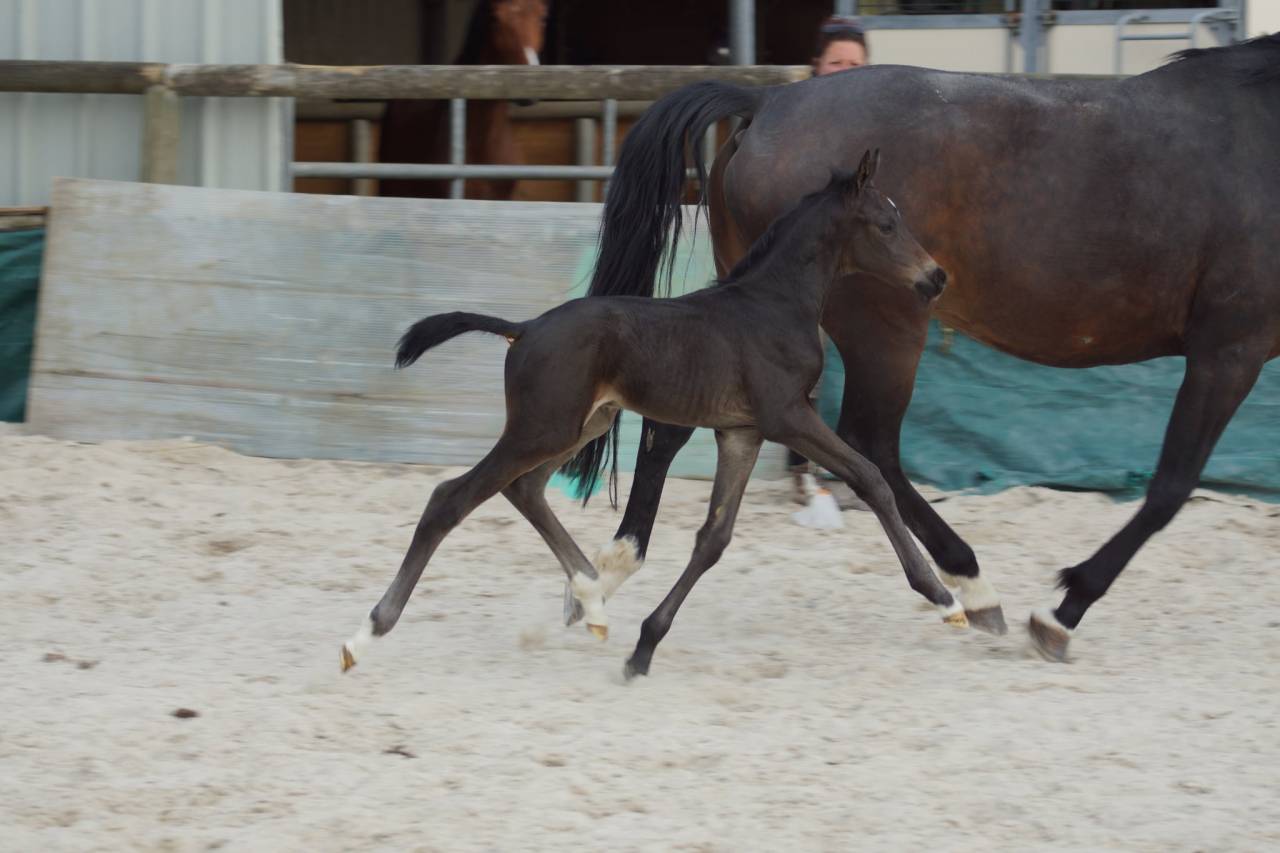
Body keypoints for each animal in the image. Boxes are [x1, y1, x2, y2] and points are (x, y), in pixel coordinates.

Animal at [340, 155, 961, 678]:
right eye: (886, 224)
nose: (935, 278)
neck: (774, 305)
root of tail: (525, 328)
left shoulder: (742, 432)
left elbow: (714, 537)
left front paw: (643, 647)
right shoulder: (787, 416)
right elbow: (872, 477)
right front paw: (944, 596)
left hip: (579, 424)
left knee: (525, 490)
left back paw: (592, 603)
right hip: (543, 427)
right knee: (452, 498)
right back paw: (364, 635)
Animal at [562, 34, 1280, 662]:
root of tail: (768, 103)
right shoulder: (1229, 349)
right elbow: (1170, 487)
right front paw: (1061, 612)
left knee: (675, 426)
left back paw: (607, 572)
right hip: (885, 326)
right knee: (871, 444)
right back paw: (970, 586)